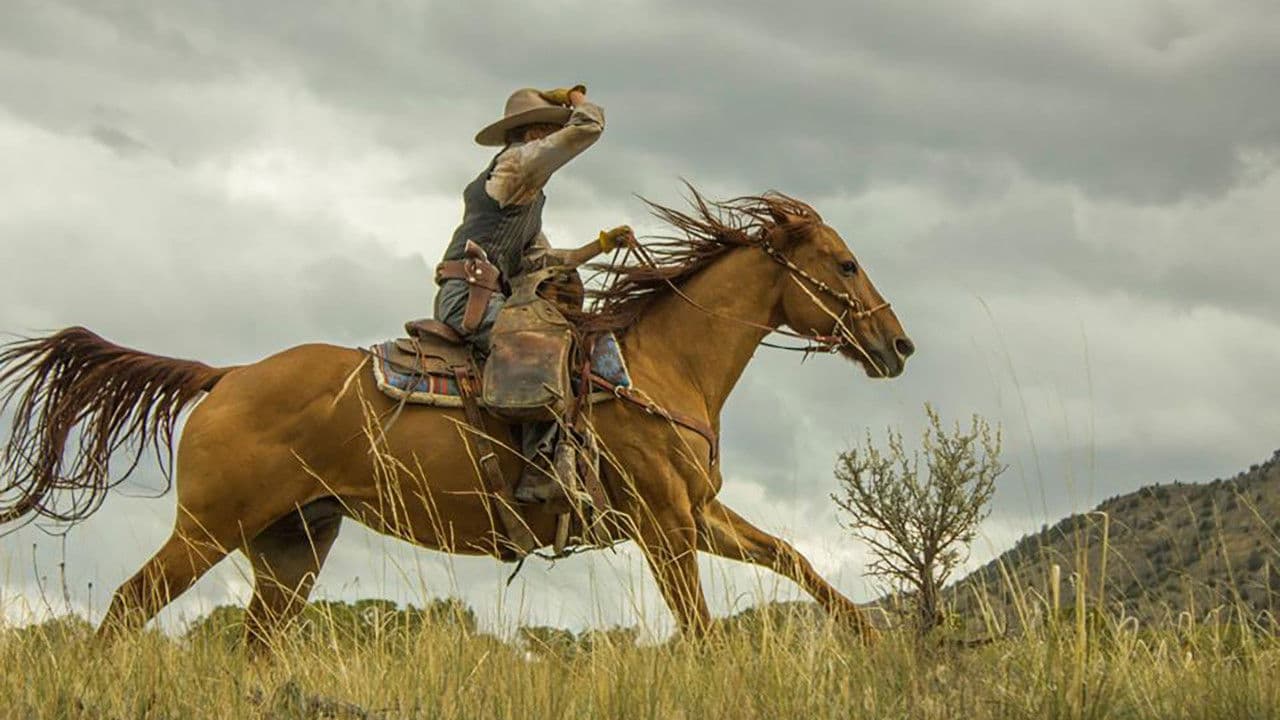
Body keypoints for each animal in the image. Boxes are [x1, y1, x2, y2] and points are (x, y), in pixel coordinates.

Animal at [0, 191, 914, 645]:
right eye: (845, 264)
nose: (898, 344)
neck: (662, 365)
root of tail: (226, 377)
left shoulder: (696, 515)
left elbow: (794, 558)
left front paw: (877, 641)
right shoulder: (664, 525)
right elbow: (701, 630)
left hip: (292, 546)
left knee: (256, 638)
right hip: (207, 529)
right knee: (128, 606)